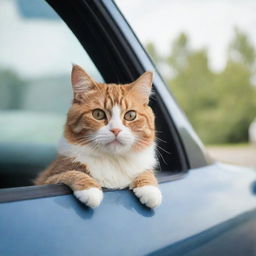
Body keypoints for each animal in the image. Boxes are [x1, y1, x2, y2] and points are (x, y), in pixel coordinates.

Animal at [34, 65, 162, 209]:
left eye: (130, 115)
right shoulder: (48, 179)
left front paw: (150, 189)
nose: (116, 130)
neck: (113, 160)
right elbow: (71, 173)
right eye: (98, 114)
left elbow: (146, 172)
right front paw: (90, 190)